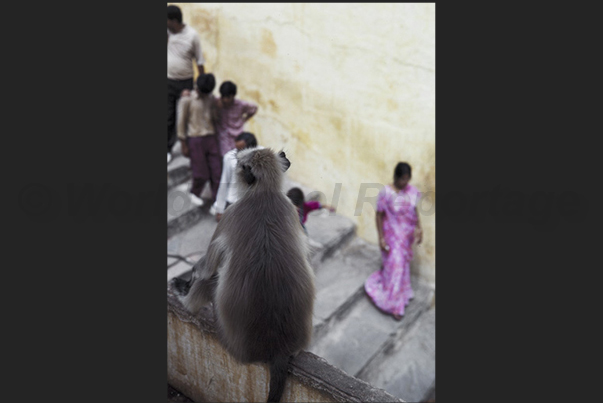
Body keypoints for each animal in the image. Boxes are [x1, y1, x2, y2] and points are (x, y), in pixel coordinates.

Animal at [168, 148, 314, 403]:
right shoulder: (290, 208)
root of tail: (278, 347)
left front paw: (188, 282)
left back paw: (185, 297)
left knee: (211, 281)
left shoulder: (231, 212)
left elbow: (207, 267)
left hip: (227, 334)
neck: (263, 193)